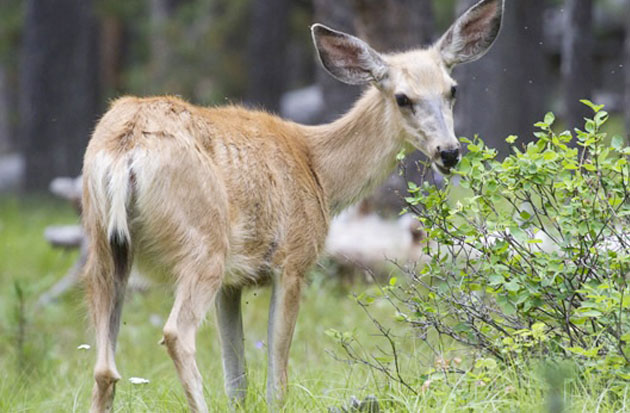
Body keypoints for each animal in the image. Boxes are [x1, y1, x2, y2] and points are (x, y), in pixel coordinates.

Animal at [84, 1, 506, 410]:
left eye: (452, 90)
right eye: (403, 98)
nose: (449, 152)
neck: (319, 171)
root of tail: (125, 147)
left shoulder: (232, 283)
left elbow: (236, 380)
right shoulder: (293, 260)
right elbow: (277, 378)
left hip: (103, 247)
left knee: (104, 368)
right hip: (202, 243)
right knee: (176, 334)